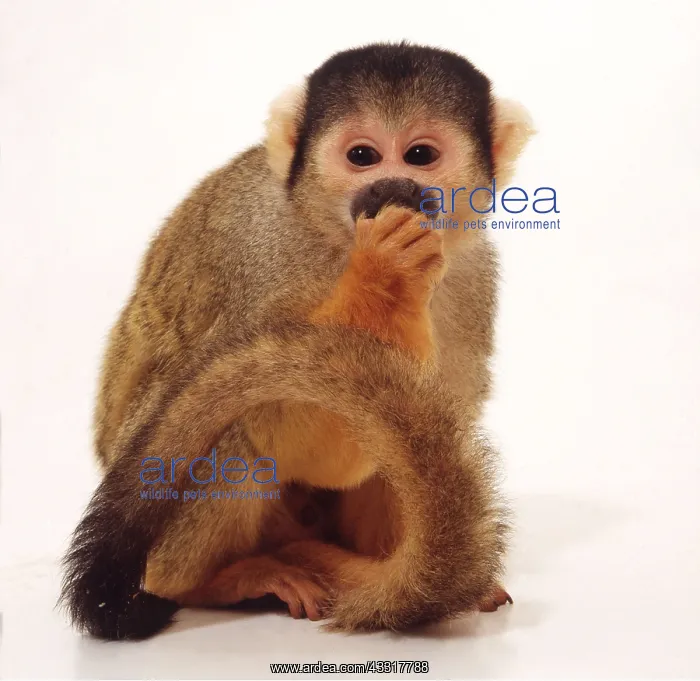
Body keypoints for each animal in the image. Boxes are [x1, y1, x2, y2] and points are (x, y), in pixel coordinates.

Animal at [60, 41, 534, 641]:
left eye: (420, 155)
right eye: (362, 155)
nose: (391, 188)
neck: (334, 236)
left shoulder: (473, 277)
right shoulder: (262, 256)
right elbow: (293, 430)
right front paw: (385, 278)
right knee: (230, 429)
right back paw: (214, 581)